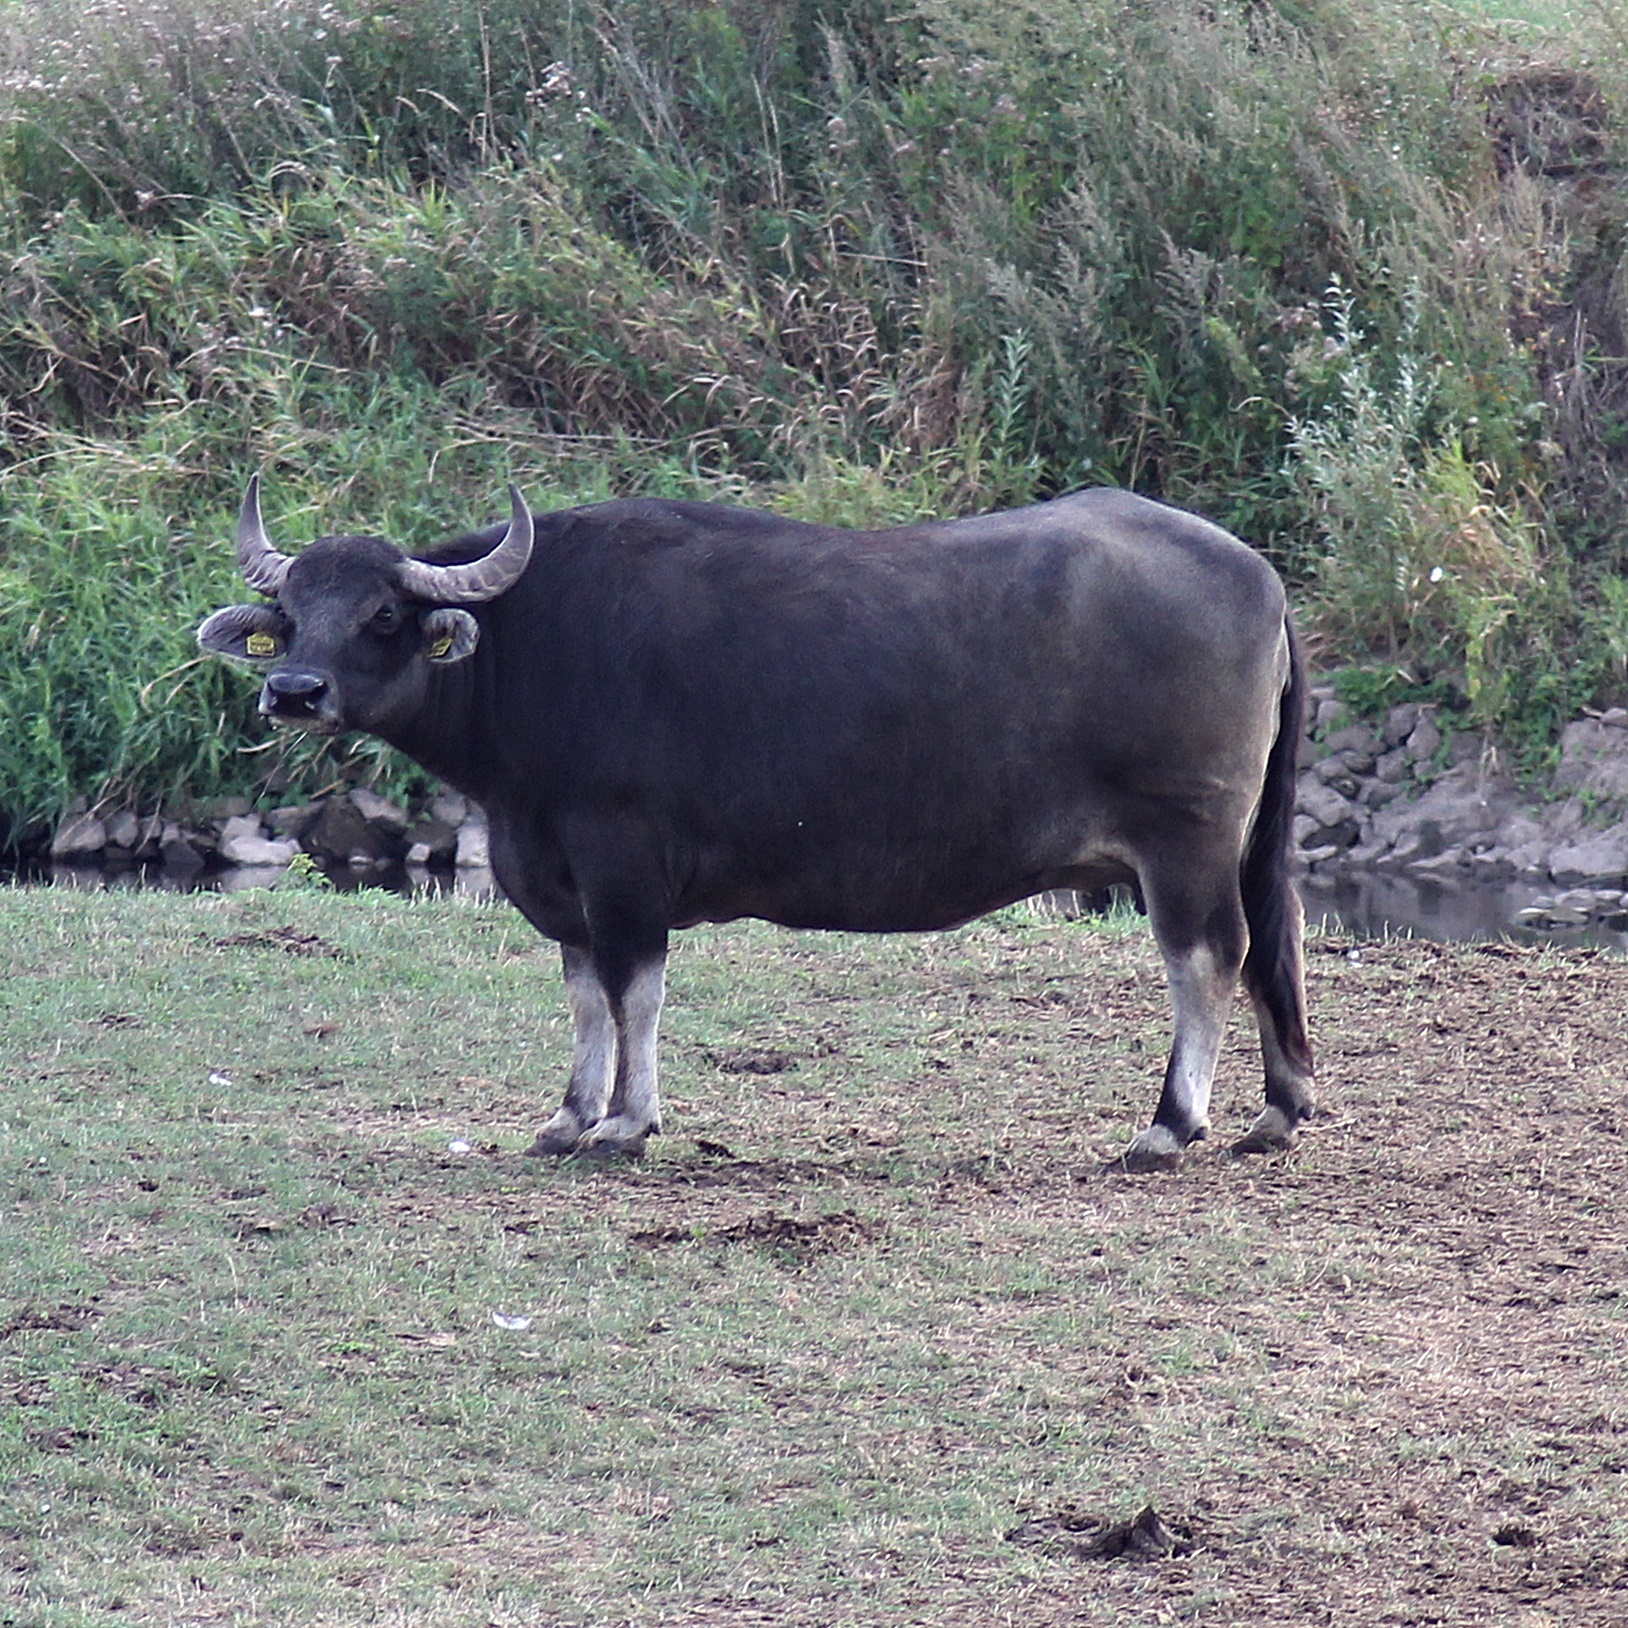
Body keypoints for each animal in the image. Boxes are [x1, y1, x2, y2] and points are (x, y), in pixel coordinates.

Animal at [197, 478, 1315, 1172]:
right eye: (291, 616)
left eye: (382, 614)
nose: (294, 692)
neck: (527, 650)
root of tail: (1258, 574)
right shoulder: (555, 877)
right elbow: (583, 994)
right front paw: (567, 1114)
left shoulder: (621, 862)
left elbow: (633, 986)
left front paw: (626, 1121)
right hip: (1242, 841)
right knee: (1278, 937)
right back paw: (1277, 1108)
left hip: (1183, 839)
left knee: (1208, 955)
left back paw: (1170, 1124)